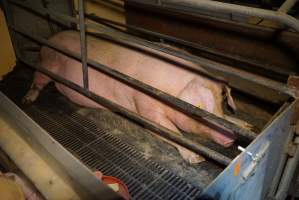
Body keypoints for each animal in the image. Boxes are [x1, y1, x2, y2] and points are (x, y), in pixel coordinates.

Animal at [23, 30, 238, 163]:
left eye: (221, 102)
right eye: (199, 109)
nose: (231, 138)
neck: (169, 90)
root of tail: (48, 40)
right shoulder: (145, 105)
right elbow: (170, 131)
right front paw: (198, 159)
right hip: (47, 64)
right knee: (37, 80)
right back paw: (27, 100)